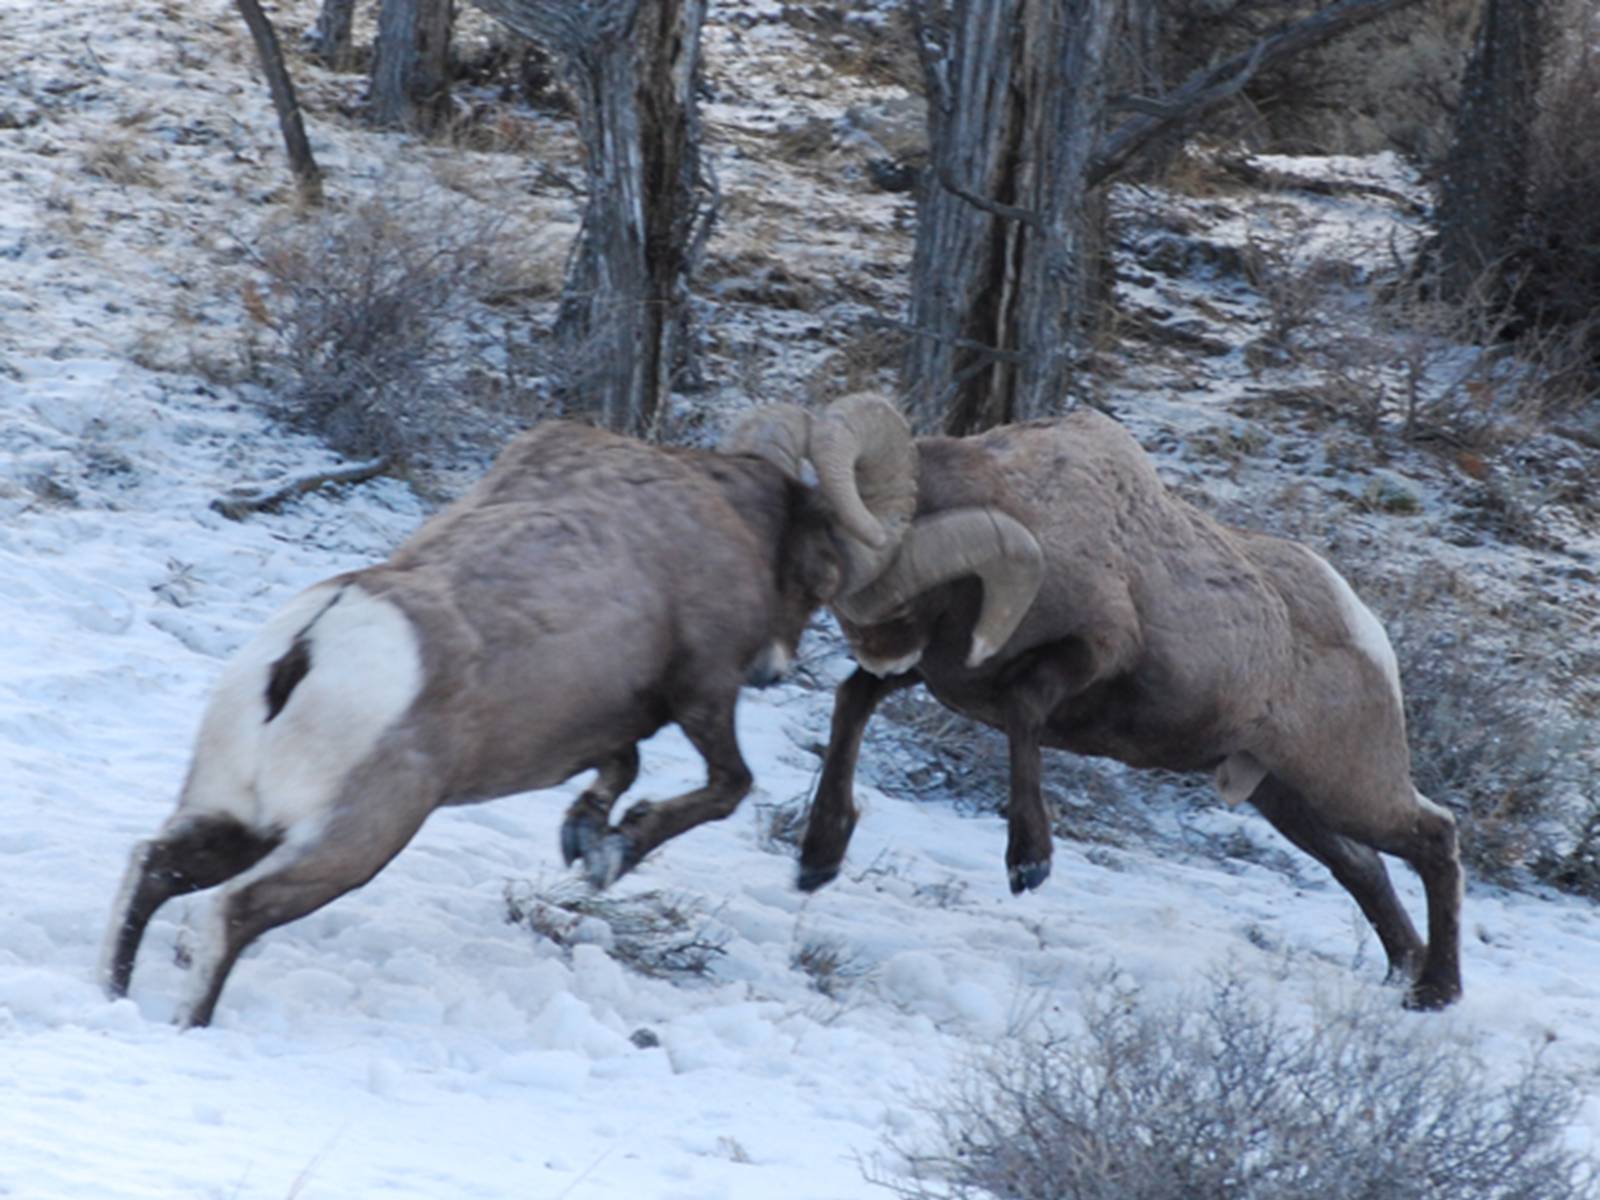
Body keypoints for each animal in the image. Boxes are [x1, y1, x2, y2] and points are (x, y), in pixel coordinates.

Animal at [106, 401, 915, 1024]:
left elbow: (621, 765)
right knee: (232, 913)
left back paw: (113, 996)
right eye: (820, 575)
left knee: (153, 868)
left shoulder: (604, 725)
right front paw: (615, 853)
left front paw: (586, 837)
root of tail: (307, 649)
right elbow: (725, 785)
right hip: (354, 840)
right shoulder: (703, 692)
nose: (775, 670)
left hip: (236, 816)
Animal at [800, 406, 1465, 1017]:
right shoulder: (932, 671)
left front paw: (1029, 864)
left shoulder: (1093, 653)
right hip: (1288, 800)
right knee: (1366, 869)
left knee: (1435, 836)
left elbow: (1022, 710)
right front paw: (817, 860)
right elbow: (852, 701)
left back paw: (1436, 992)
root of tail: (1370, 635)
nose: (873, 641)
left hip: (1344, 786)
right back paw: (1406, 977)